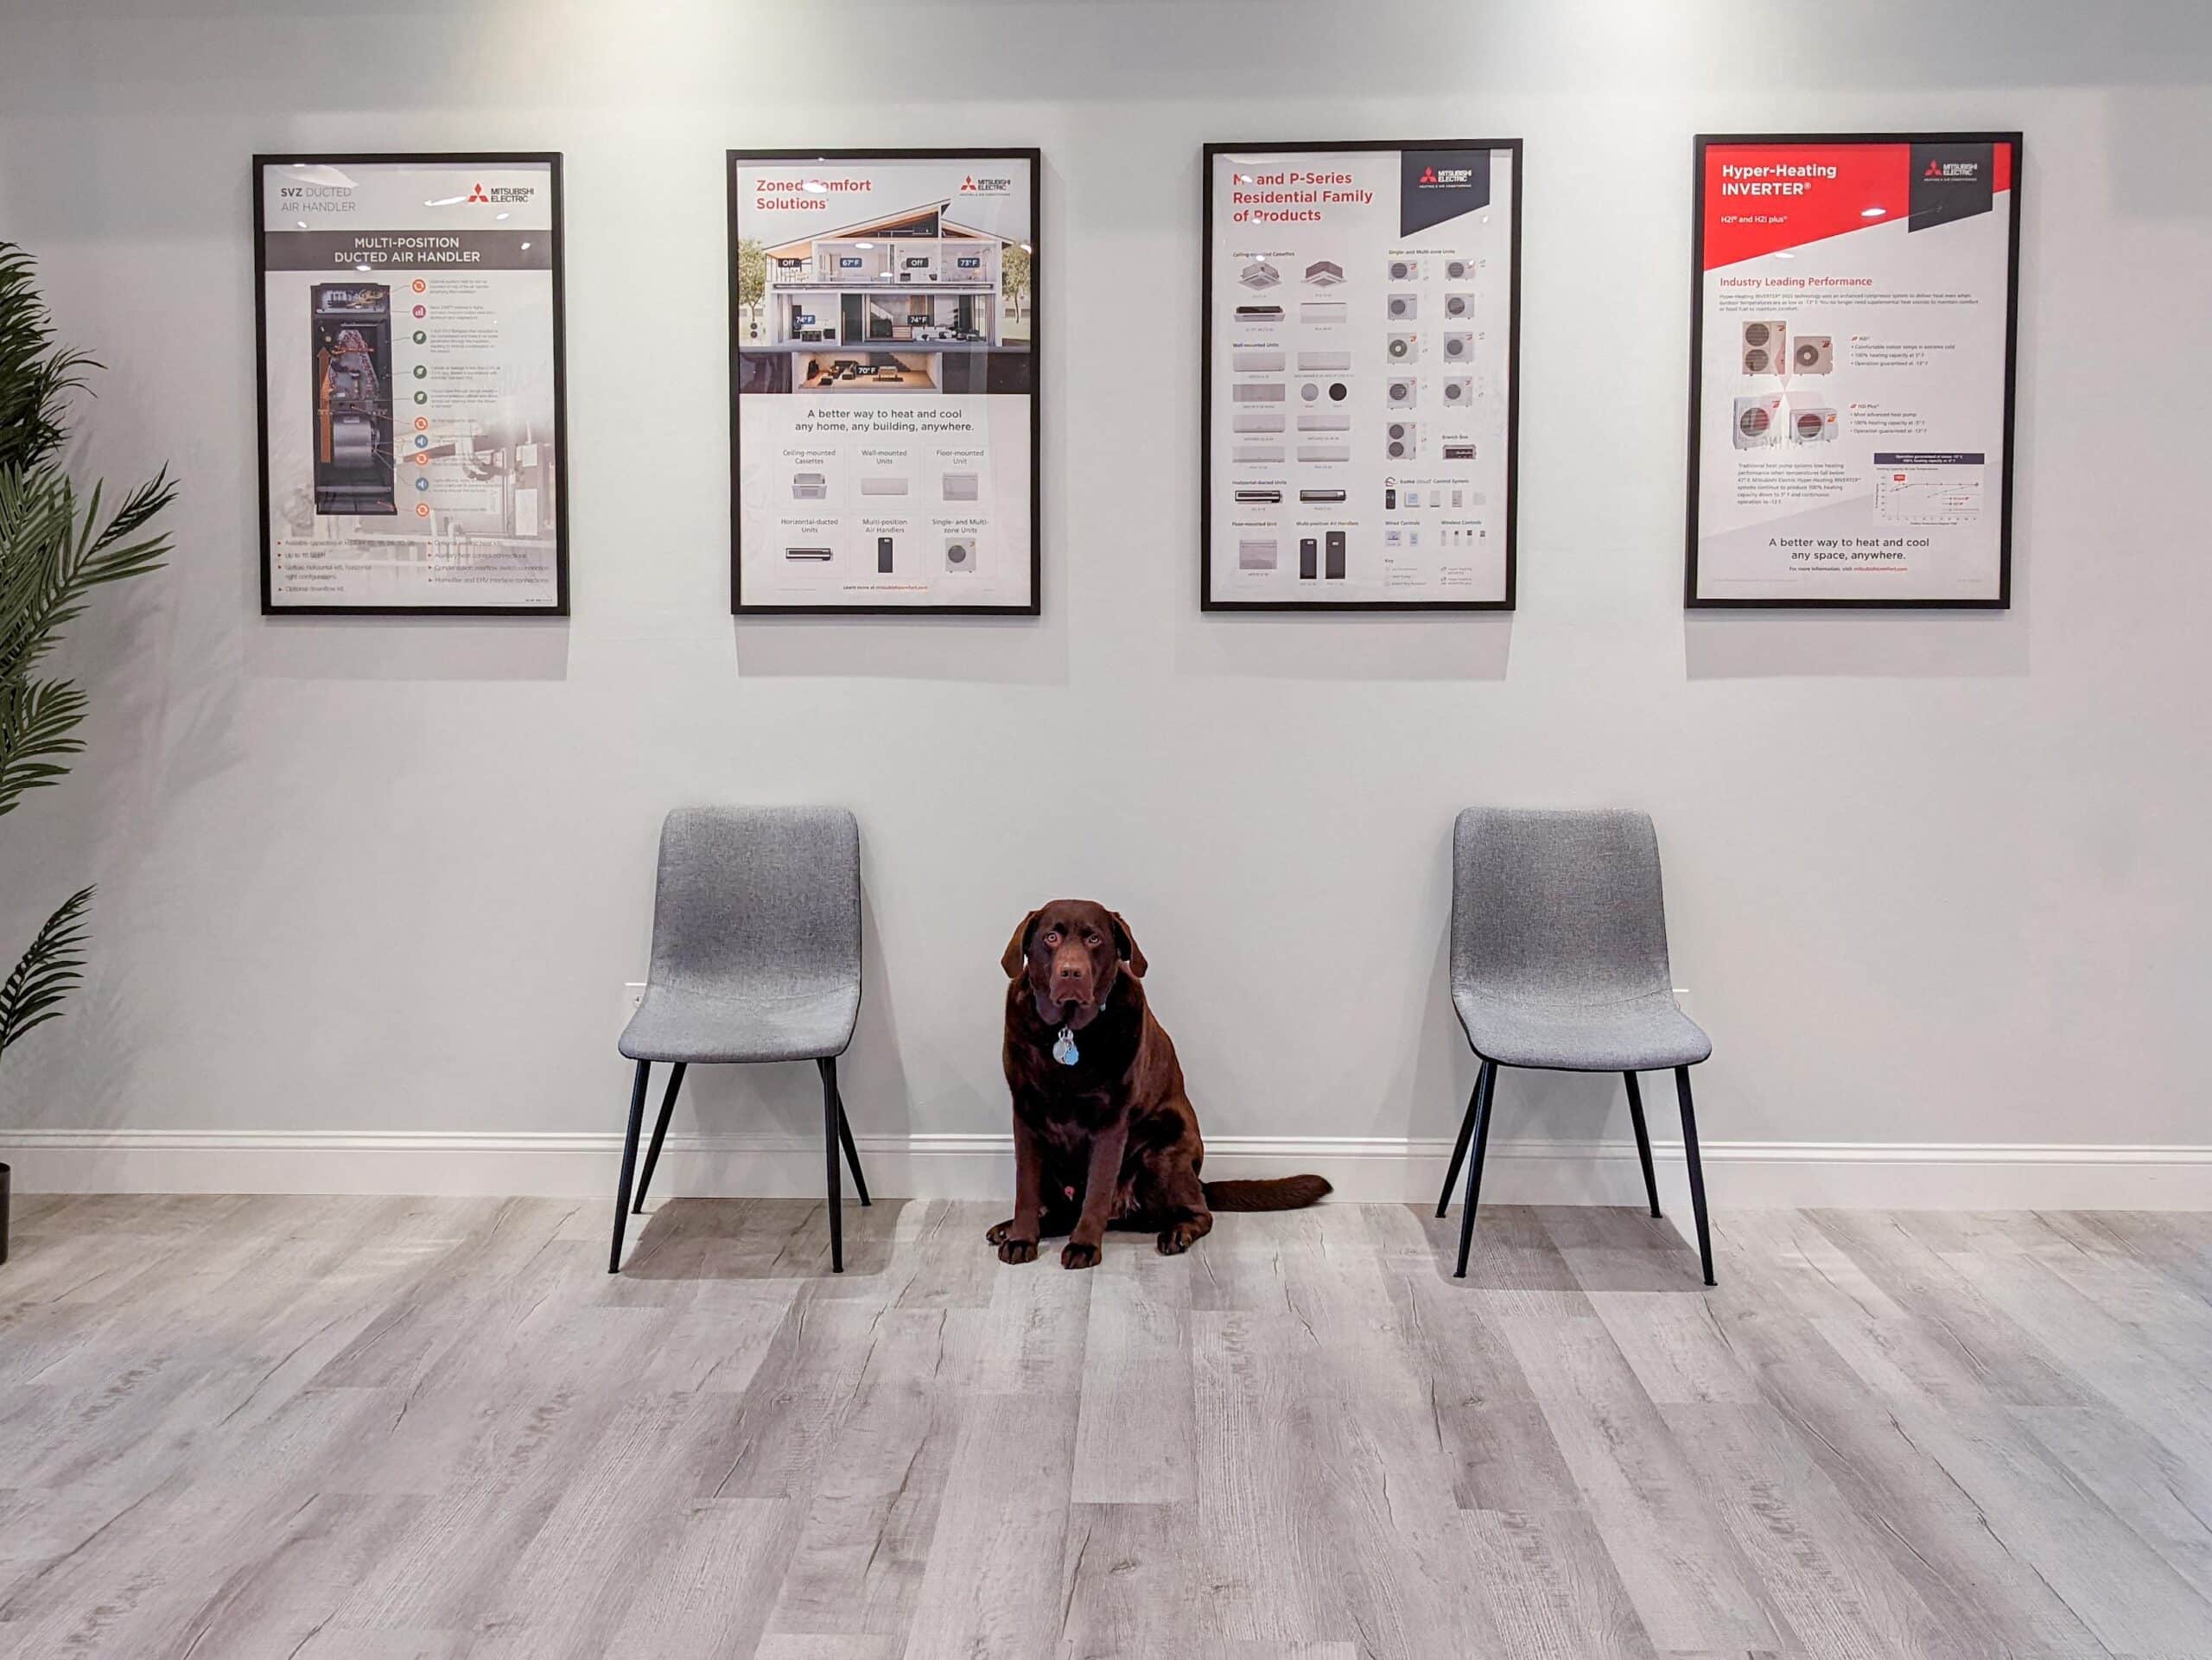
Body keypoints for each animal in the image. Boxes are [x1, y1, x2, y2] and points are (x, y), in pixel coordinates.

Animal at [990, 903, 1327, 1266]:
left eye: (1094, 939)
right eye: (1050, 937)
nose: (1071, 973)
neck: (1067, 1031)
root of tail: (1199, 1180)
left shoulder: (1112, 1122)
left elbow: (1097, 1191)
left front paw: (1084, 1246)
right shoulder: (1026, 1115)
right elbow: (1025, 1189)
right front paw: (1021, 1238)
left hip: (1163, 1153)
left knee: (1199, 1213)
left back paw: (1177, 1234)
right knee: (1064, 1212)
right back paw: (1008, 1229)